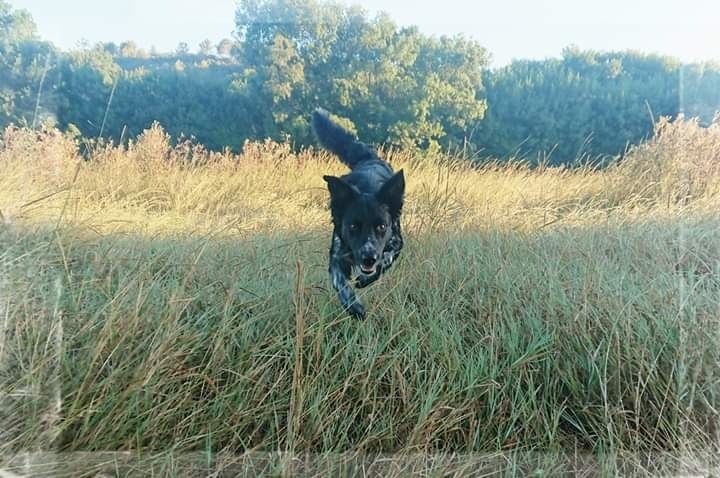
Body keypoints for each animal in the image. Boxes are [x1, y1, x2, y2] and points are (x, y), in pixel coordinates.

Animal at [310, 108, 404, 318]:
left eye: (382, 226)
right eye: (353, 226)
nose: (368, 258)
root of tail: (369, 158)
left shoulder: (396, 242)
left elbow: (385, 259)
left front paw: (366, 278)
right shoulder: (337, 254)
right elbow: (340, 281)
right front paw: (354, 306)